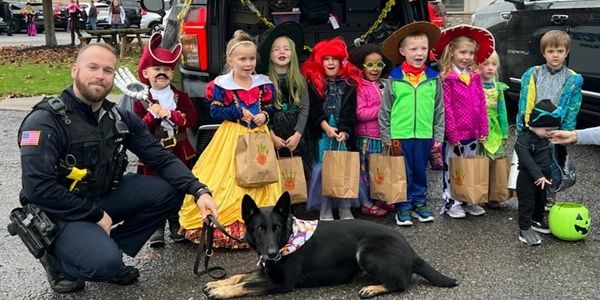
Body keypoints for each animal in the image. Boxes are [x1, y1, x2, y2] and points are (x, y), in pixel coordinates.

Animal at [204, 193, 458, 298]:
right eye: (259, 229)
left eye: (276, 227)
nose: (272, 253)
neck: (289, 237)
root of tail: (411, 252)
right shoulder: (267, 270)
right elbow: (241, 276)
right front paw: (218, 283)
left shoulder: (282, 283)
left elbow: (247, 285)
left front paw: (221, 291)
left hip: (366, 251)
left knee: (400, 283)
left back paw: (373, 288)